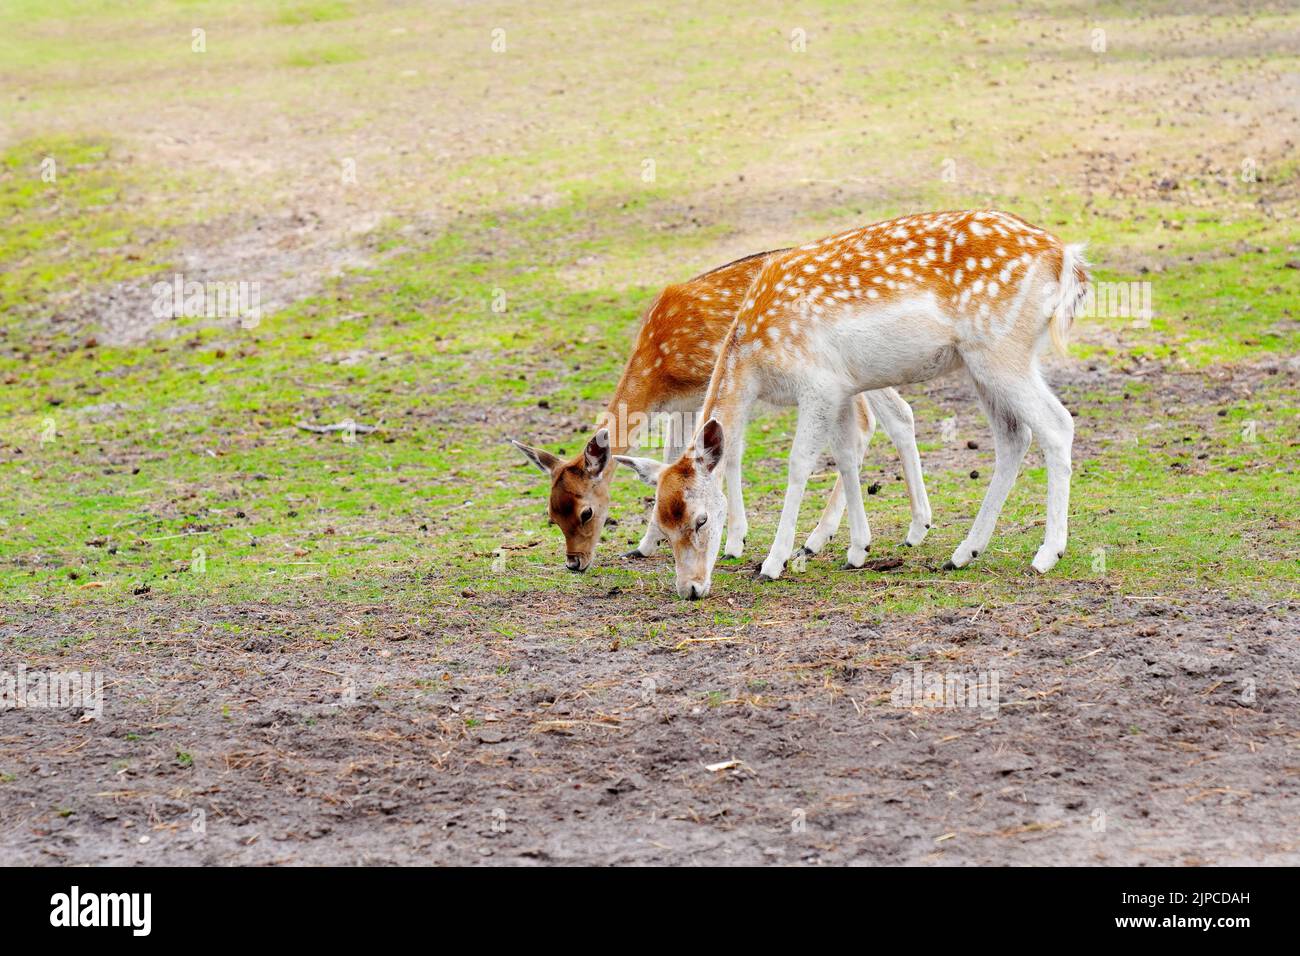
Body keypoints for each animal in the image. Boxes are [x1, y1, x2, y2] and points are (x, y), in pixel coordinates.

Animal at [512, 250, 933, 572]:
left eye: (585, 512)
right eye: (552, 516)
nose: (574, 563)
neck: (660, 364)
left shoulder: (715, 386)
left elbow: (728, 456)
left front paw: (735, 542)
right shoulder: (683, 405)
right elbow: (671, 459)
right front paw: (644, 545)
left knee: (869, 422)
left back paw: (826, 539)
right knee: (896, 415)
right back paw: (908, 530)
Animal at [615, 209, 1089, 600]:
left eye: (700, 520)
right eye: (663, 520)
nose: (691, 589)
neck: (754, 357)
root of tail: (1066, 258)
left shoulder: (818, 383)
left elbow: (800, 463)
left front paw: (774, 561)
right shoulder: (842, 388)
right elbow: (844, 454)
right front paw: (857, 549)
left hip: (1001, 351)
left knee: (1057, 424)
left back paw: (1047, 554)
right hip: (983, 363)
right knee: (1014, 437)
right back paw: (963, 552)